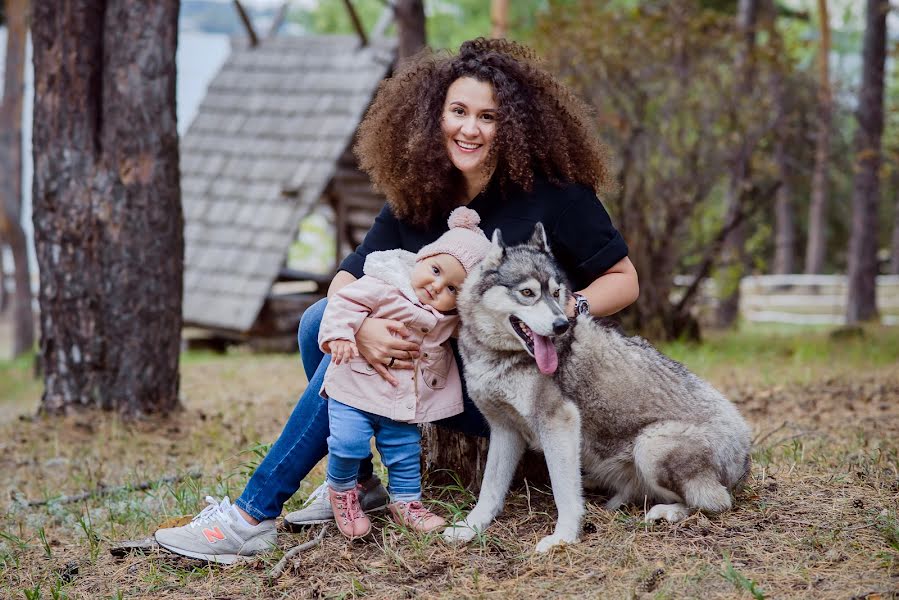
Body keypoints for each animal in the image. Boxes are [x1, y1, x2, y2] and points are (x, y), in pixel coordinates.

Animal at [442, 225, 752, 552]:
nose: (561, 325)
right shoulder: (504, 430)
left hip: (650, 444)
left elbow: (564, 493)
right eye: (527, 293)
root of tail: (745, 454)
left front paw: (563, 538)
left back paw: (666, 512)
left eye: (556, 293)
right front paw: (469, 527)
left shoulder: (560, 423)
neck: (500, 356)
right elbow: (489, 489)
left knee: (716, 502)